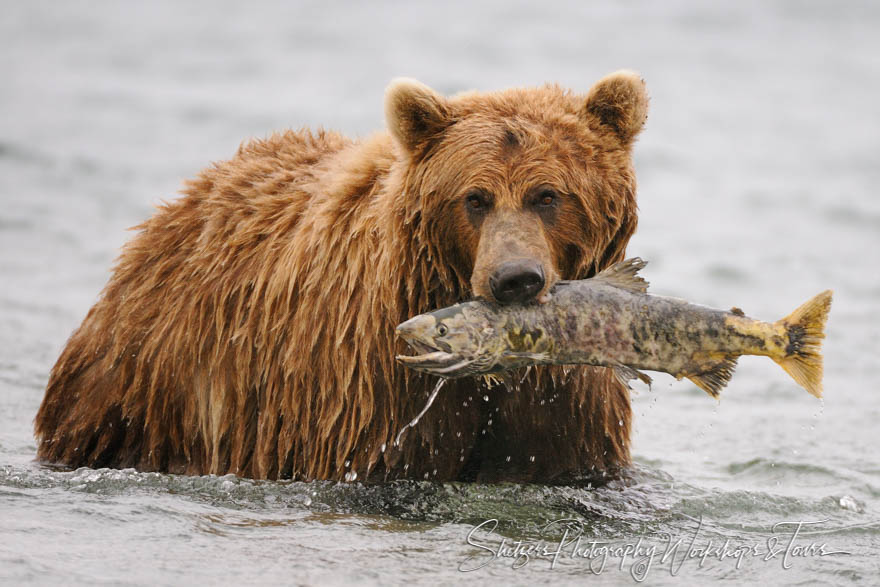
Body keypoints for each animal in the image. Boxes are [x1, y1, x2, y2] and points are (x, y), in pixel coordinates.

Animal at [36, 71, 648, 484]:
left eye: (548, 195)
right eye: (475, 198)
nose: (515, 278)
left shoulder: (565, 407)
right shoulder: (367, 388)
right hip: (144, 383)